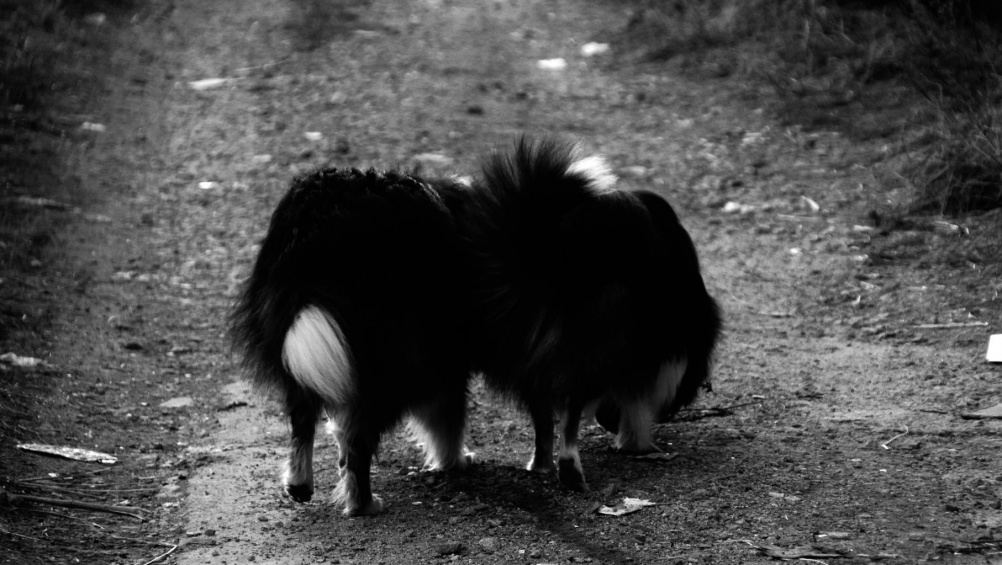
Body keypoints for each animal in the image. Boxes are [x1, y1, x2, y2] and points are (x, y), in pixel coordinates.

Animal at [230, 167, 476, 517]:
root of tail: (320, 221)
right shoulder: (445, 356)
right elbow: (448, 416)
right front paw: (455, 460)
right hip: (394, 351)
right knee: (362, 436)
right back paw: (363, 503)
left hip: (293, 336)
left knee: (302, 415)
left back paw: (300, 483)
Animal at [457, 138, 721, 491]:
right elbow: (636, 403)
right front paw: (637, 444)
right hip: (592, 348)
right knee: (570, 415)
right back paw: (571, 471)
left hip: (525, 361)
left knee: (544, 422)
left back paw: (541, 467)